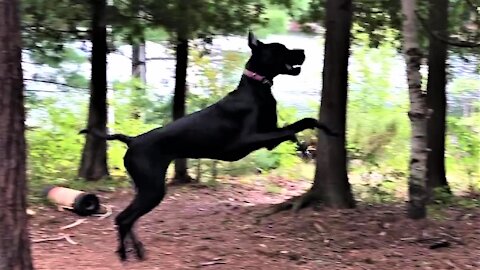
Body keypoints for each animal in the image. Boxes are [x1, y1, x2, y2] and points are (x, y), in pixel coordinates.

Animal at [80, 32, 338, 262]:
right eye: (280, 48)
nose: (303, 51)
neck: (257, 88)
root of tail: (132, 140)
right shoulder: (249, 140)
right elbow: (297, 126)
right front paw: (326, 133)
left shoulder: (269, 139)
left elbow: (301, 124)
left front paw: (322, 134)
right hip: (152, 189)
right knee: (123, 218)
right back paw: (124, 255)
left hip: (144, 188)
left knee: (130, 218)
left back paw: (138, 250)